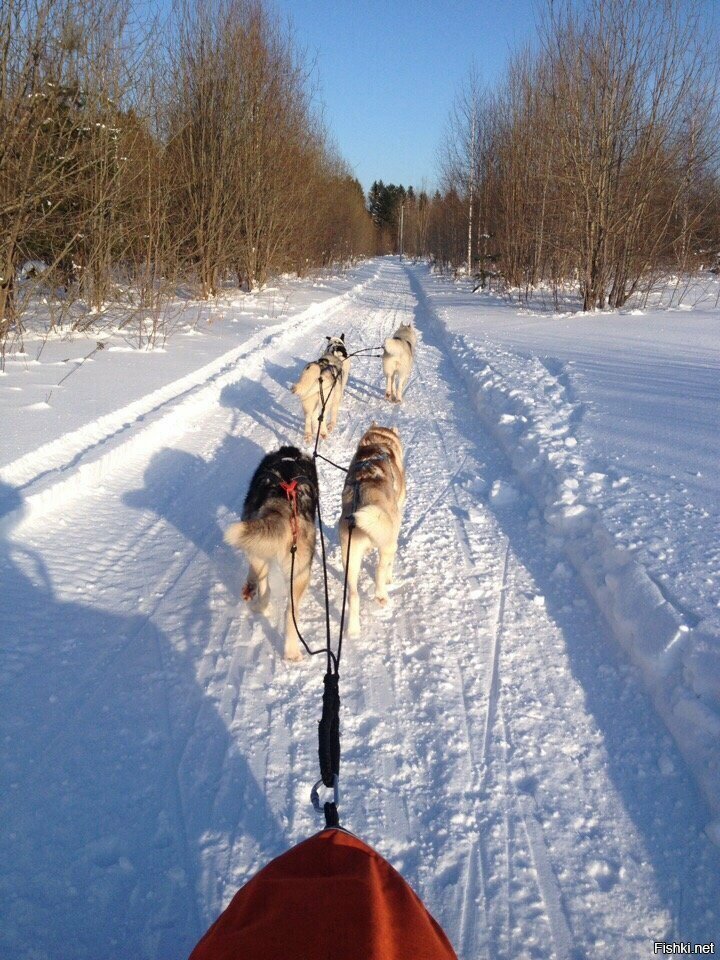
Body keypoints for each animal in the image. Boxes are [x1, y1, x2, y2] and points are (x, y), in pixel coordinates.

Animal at [224, 444, 316, 660]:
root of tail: (283, 503)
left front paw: (249, 587)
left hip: (261, 555)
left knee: (265, 588)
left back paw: (257, 603)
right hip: (298, 573)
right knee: (289, 612)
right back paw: (291, 652)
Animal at [338, 426, 404, 636]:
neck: (379, 444)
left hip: (350, 560)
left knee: (353, 595)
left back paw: (353, 630)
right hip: (388, 545)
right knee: (380, 570)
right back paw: (381, 595)